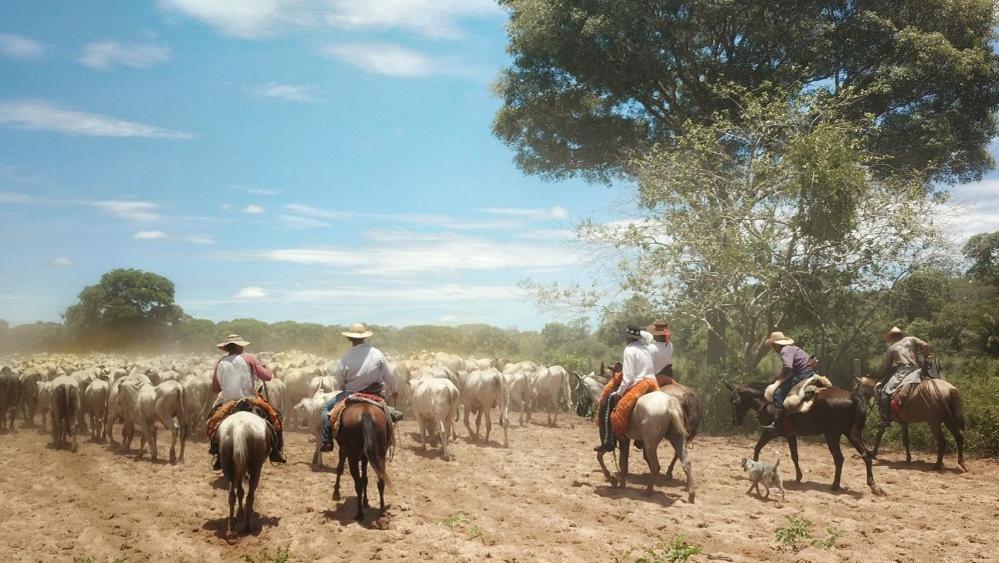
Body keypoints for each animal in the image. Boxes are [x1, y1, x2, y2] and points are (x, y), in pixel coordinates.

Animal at [728, 382, 884, 496]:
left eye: (734, 402)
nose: (735, 422)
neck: (768, 404)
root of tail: (852, 396)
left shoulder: (770, 432)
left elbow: (757, 447)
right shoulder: (790, 436)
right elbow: (794, 456)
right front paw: (798, 476)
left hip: (832, 435)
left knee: (839, 458)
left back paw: (835, 485)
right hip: (851, 434)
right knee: (866, 455)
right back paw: (873, 485)